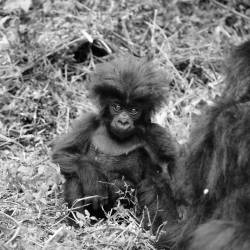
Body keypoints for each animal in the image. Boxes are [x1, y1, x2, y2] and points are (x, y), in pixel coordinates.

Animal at [51, 55, 179, 229]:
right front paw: (93, 179)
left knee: (131, 185)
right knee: (75, 177)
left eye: (133, 110)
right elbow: (63, 153)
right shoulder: (89, 122)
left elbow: (172, 169)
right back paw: (78, 224)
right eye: (117, 107)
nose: (123, 121)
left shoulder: (155, 133)